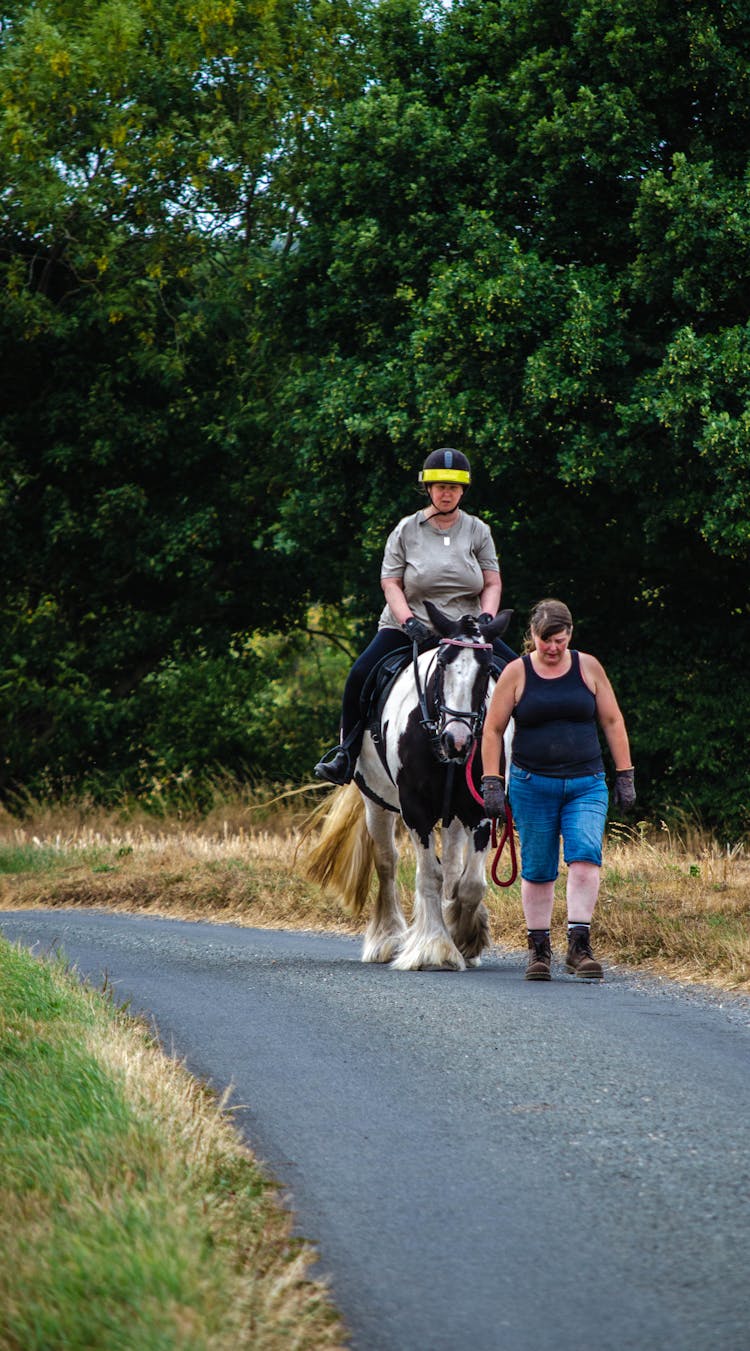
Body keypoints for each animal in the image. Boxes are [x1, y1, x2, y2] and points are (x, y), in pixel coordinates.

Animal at [302, 602, 513, 972]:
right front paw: (434, 949)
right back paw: (386, 940)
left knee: (453, 868)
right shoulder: (416, 810)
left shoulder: (480, 808)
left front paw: (465, 939)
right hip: (376, 803)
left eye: (487, 669)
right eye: (442, 663)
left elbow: (471, 884)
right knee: (387, 862)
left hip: (453, 814)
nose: (457, 740)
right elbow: (429, 876)